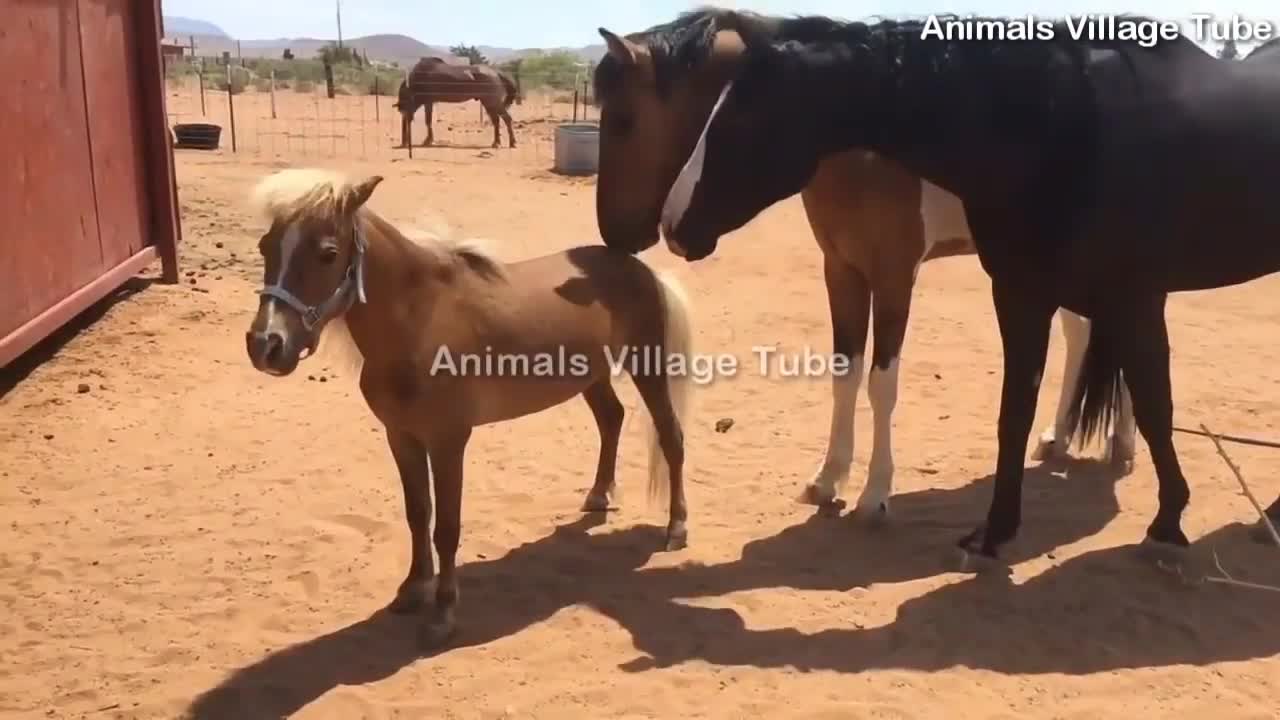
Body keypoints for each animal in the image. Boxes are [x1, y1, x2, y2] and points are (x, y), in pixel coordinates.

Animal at [591, 9, 1141, 520]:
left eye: (623, 120)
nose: (619, 235)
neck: (863, 135)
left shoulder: (895, 276)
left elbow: (881, 383)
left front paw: (875, 494)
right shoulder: (842, 270)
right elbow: (845, 373)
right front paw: (828, 479)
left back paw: (1123, 445)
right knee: (1084, 333)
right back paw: (1062, 437)